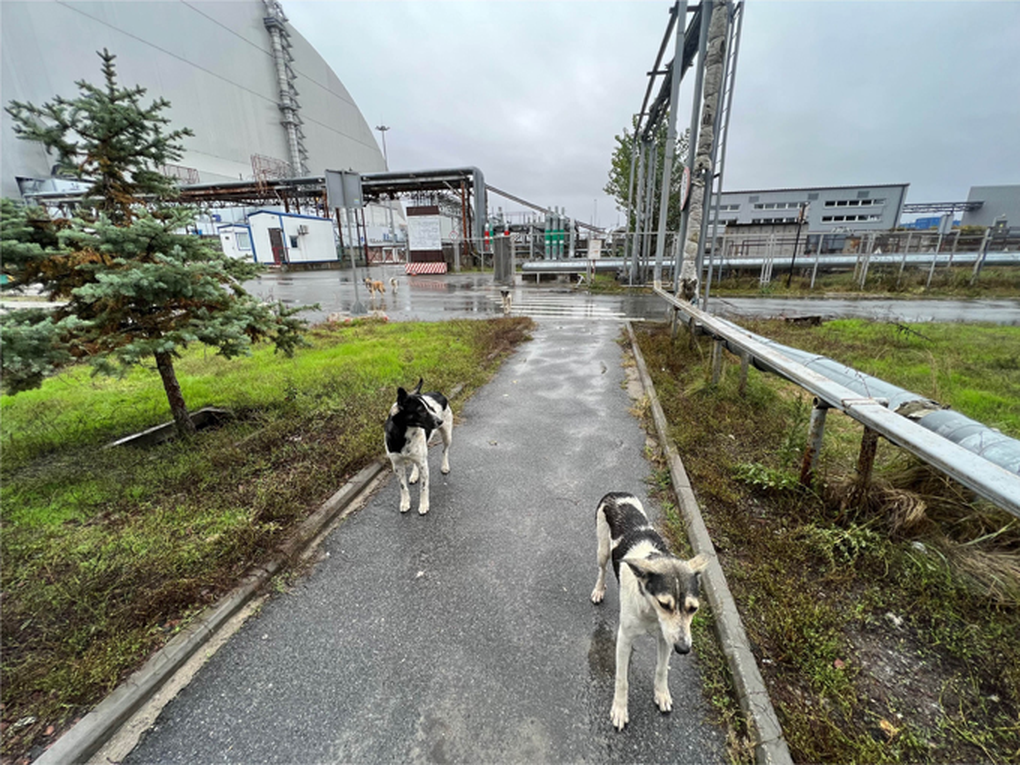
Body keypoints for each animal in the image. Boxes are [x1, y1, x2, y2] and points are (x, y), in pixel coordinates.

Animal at [383, 379, 452, 516]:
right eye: (421, 410)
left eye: (431, 408)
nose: (440, 421)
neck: (404, 434)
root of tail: (438, 393)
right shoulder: (397, 465)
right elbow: (403, 487)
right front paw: (405, 502)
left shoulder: (423, 464)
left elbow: (424, 488)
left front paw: (424, 505)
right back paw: (415, 475)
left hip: (447, 435)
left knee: (445, 450)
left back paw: (445, 466)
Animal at [591, 493, 709, 734]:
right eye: (665, 604)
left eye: (693, 608)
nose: (684, 649)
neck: (650, 611)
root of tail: (615, 493)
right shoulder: (624, 638)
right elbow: (622, 680)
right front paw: (620, 709)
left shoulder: (667, 639)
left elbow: (662, 669)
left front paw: (661, 694)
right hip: (603, 550)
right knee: (602, 569)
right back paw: (599, 589)